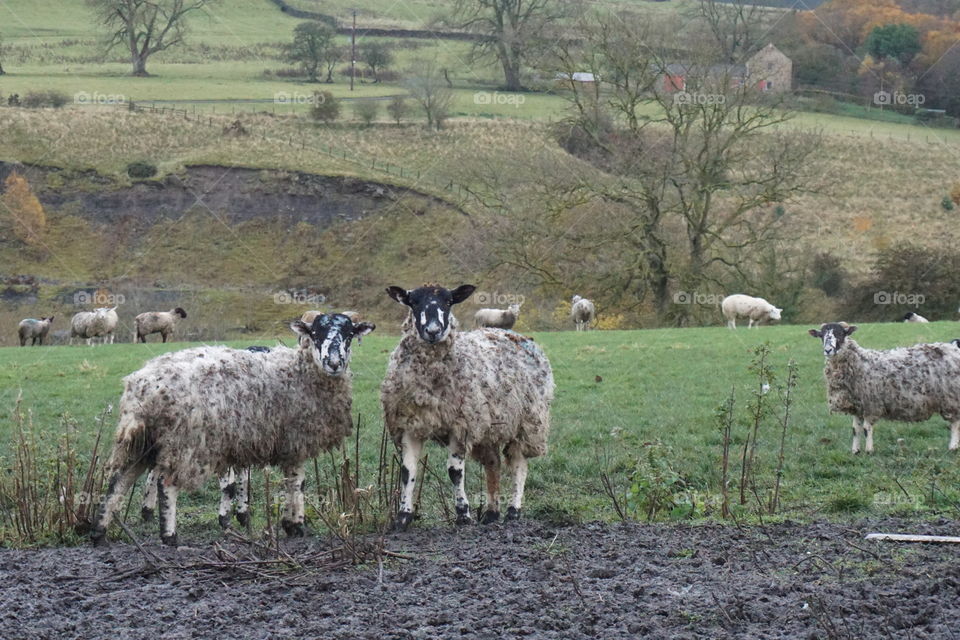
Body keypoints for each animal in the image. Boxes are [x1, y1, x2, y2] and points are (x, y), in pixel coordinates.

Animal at [91, 312, 376, 544]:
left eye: (349, 334)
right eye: (315, 333)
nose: (334, 362)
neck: (301, 371)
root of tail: (142, 386)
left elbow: (290, 482)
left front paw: (290, 524)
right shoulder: (295, 440)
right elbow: (297, 483)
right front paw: (295, 524)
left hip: (143, 440)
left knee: (119, 480)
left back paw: (100, 531)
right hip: (184, 440)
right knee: (165, 482)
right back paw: (169, 536)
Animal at [378, 284, 552, 528]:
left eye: (448, 302)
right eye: (413, 302)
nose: (433, 330)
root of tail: (521, 336)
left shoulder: (461, 425)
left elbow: (454, 472)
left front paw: (463, 514)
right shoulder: (411, 424)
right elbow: (407, 471)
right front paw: (403, 516)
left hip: (528, 421)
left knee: (519, 464)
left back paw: (513, 510)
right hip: (490, 425)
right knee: (493, 463)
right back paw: (491, 513)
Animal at [808, 324, 960, 456]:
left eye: (840, 334)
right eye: (821, 335)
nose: (828, 350)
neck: (859, 363)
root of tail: (953, 348)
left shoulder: (870, 404)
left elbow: (866, 428)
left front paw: (869, 451)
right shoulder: (857, 406)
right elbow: (855, 430)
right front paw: (855, 451)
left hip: (951, 398)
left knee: (955, 423)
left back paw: (953, 447)